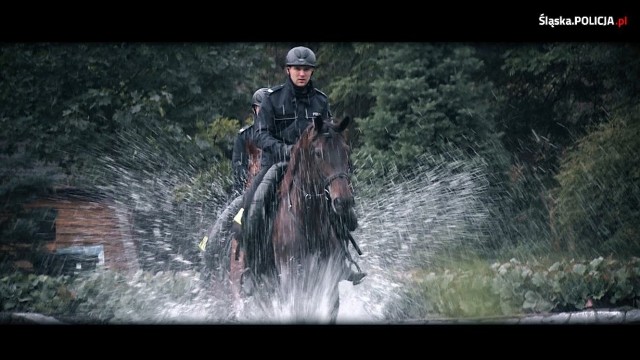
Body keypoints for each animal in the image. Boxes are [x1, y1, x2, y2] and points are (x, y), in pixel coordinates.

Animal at [229, 116, 356, 320]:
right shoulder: (291, 282)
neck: (310, 222)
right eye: (318, 153)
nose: (343, 201)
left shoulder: (328, 281)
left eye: (345, 150)